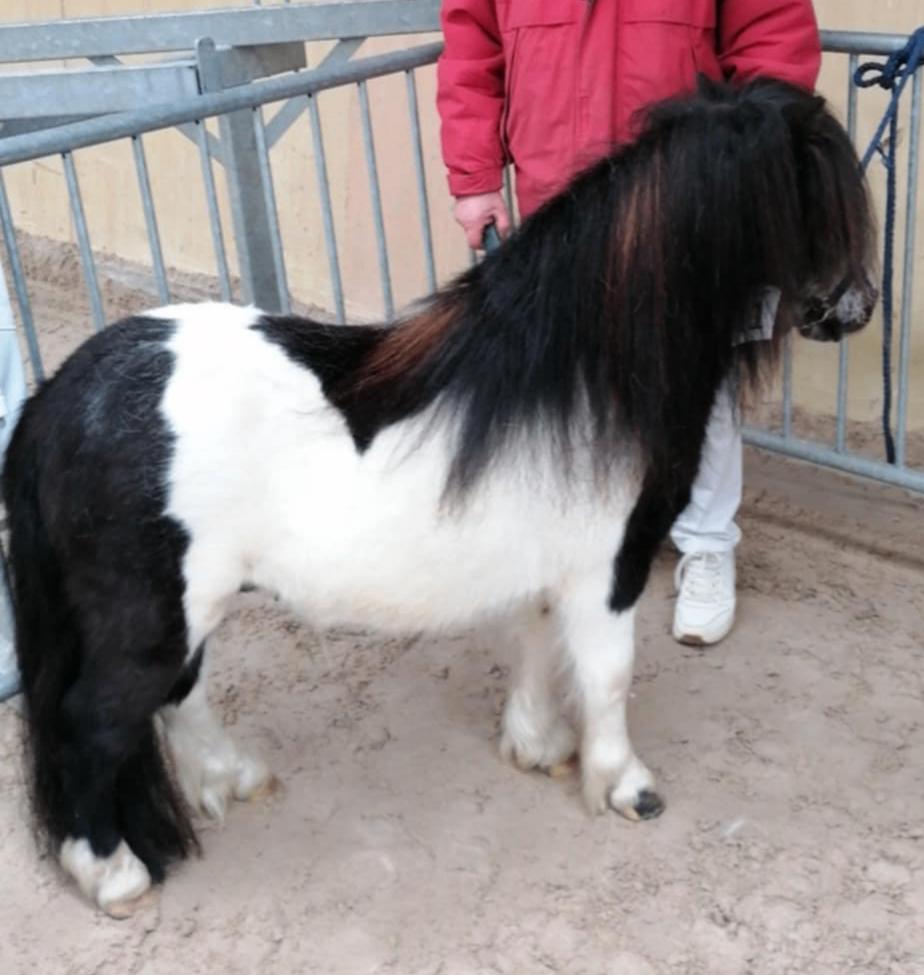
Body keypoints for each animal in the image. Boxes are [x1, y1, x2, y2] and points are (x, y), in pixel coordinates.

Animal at [3, 76, 876, 917]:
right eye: (821, 199)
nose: (857, 307)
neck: (585, 375)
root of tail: (59, 398)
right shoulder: (610, 568)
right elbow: (609, 674)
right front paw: (626, 785)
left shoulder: (545, 566)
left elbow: (537, 646)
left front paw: (537, 746)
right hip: (151, 616)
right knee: (95, 723)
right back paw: (114, 874)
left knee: (178, 693)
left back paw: (232, 778)